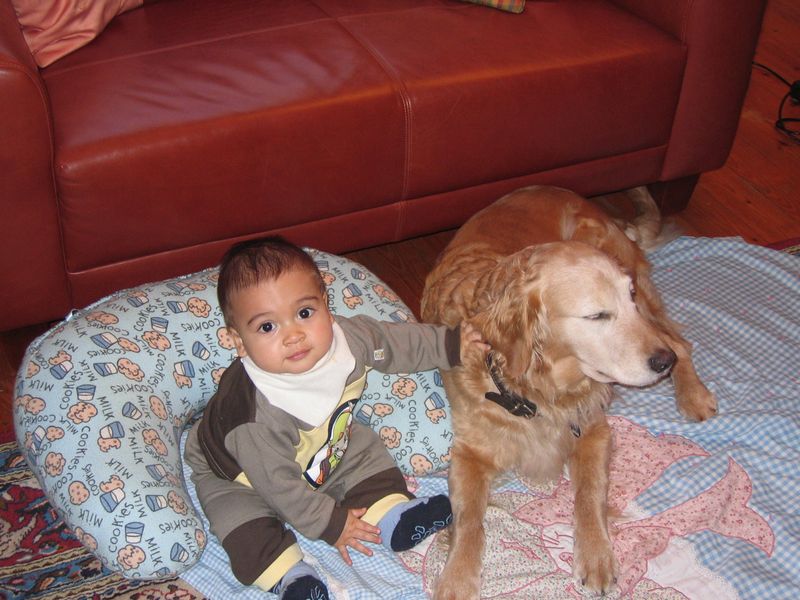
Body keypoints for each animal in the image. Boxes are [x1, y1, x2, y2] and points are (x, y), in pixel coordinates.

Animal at [420, 185, 716, 599]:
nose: (662, 363)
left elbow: (590, 495)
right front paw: (457, 579)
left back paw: (694, 395)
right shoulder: (469, 452)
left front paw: (595, 555)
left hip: (645, 304)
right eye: (597, 316)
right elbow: (468, 521)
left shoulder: (595, 430)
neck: (536, 390)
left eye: (627, 299)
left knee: (681, 343)